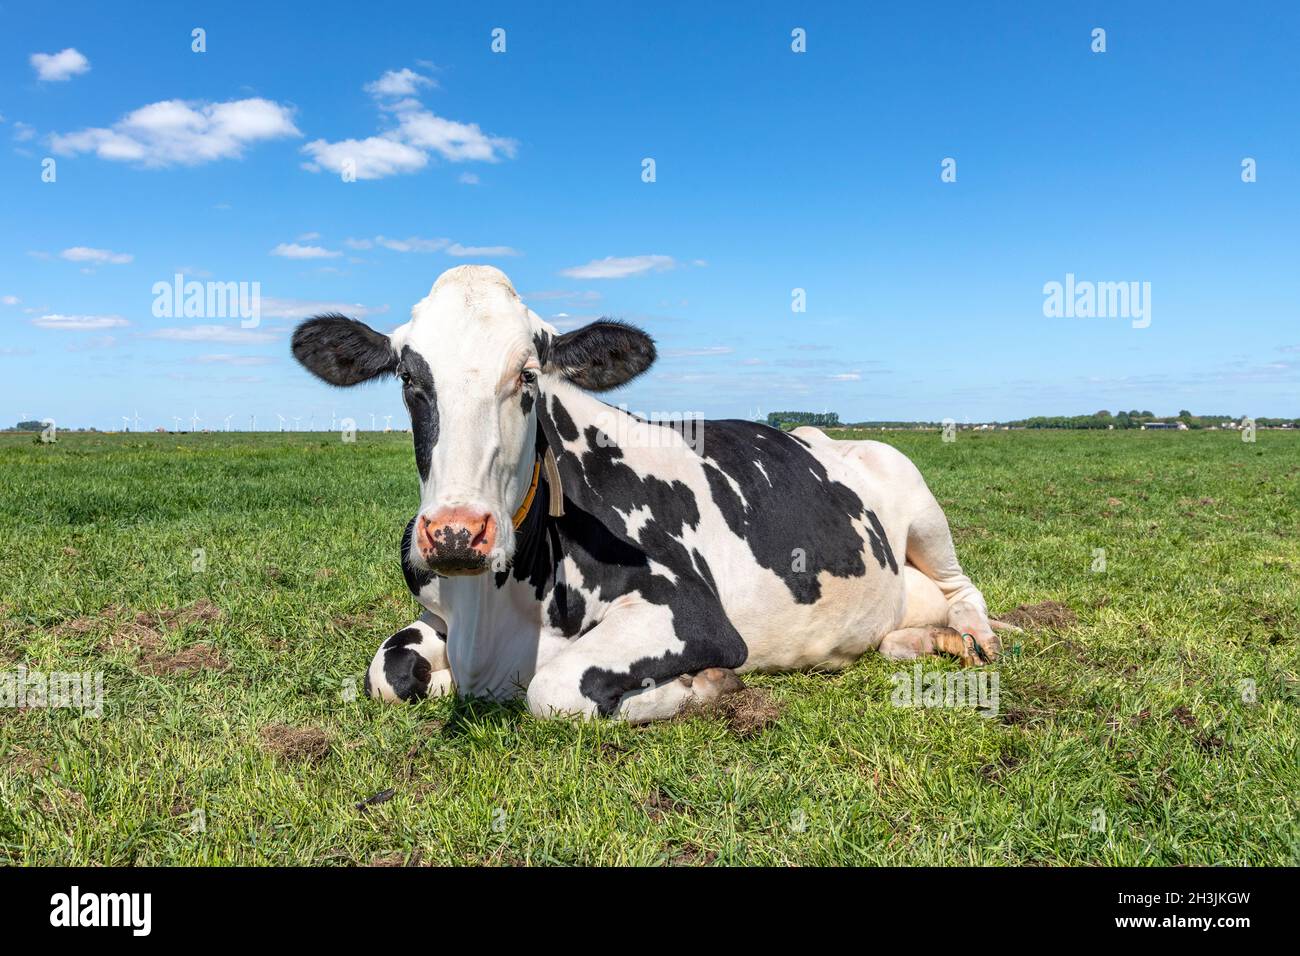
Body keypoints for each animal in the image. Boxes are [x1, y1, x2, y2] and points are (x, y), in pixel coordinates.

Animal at [289, 265, 1008, 723]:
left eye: (528, 375)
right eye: (409, 378)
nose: (458, 532)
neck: (488, 619)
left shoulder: (693, 612)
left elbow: (554, 690)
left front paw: (703, 686)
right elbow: (387, 673)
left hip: (916, 494)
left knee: (963, 589)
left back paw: (976, 639)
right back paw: (922, 642)